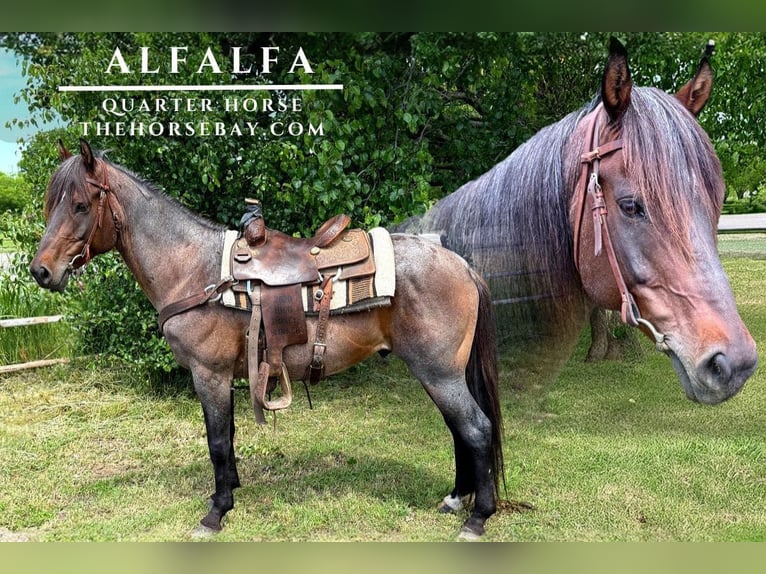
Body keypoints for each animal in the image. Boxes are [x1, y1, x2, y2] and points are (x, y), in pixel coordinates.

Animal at [29, 139, 504, 540]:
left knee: (476, 429)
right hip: (440, 375)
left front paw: (216, 511)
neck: (194, 269)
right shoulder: (224, 376)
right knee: (460, 430)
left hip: (439, 373)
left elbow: (217, 441)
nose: (40, 271)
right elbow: (228, 436)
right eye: (51, 204)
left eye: (80, 204)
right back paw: (455, 499)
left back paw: (478, 517)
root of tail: (462, 265)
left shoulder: (209, 374)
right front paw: (229, 491)